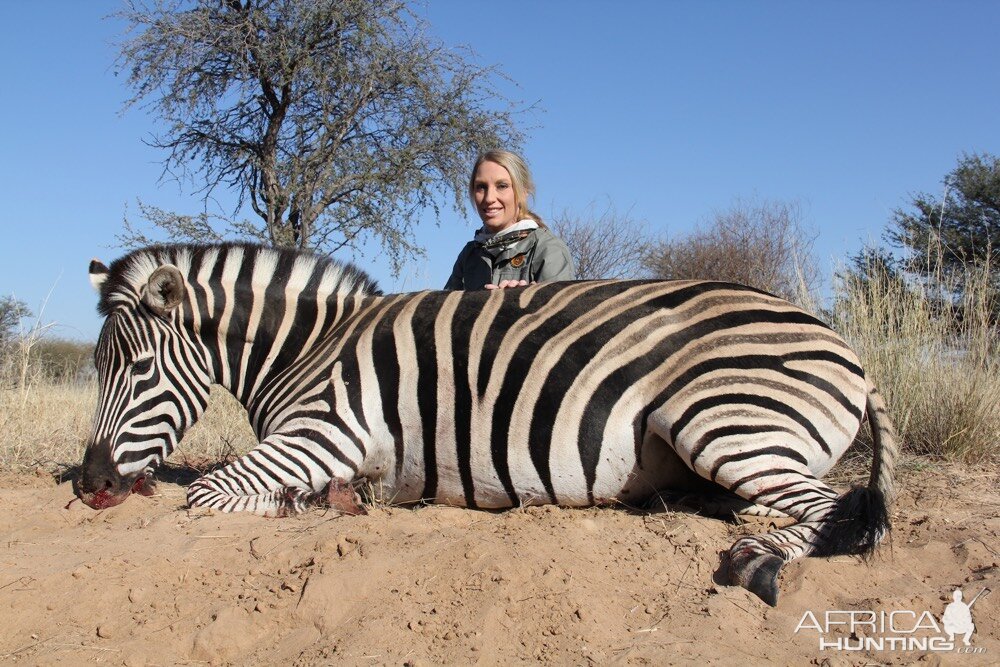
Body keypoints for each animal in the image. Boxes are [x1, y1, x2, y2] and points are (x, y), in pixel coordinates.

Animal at [74, 243, 896, 608]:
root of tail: (844, 345)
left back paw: (756, 557)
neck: (311, 346)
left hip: (717, 419)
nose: (90, 484)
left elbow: (209, 492)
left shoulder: (327, 431)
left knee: (838, 509)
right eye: (96, 366)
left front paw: (319, 502)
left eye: (137, 369)